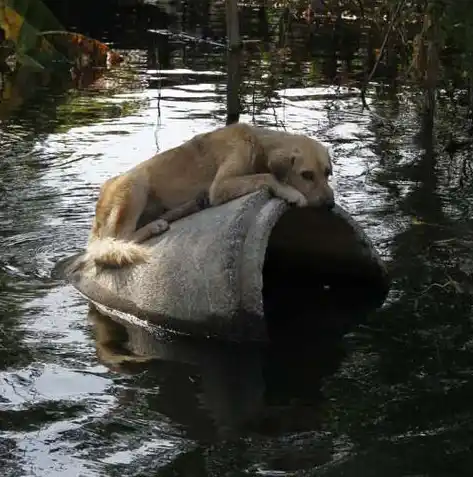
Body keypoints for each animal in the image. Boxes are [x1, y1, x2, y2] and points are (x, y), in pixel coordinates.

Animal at [83, 121, 334, 268]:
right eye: (307, 175)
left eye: (327, 173)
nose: (330, 204)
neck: (258, 143)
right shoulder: (221, 185)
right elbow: (267, 176)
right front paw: (292, 193)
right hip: (136, 184)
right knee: (121, 236)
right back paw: (155, 226)